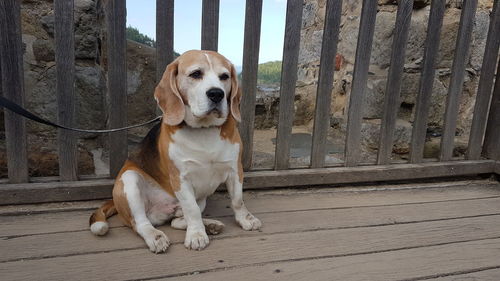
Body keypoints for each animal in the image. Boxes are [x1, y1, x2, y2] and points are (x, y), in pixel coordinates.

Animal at [89, 49, 262, 252]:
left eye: (224, 76)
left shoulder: (235, 170)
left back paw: (210, 225)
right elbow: (191, 210)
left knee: (177, 221)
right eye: (196, 74)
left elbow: (237, 200)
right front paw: (196, 235)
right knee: (141, 223)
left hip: (201, 199)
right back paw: (156, 236)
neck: (204, 130)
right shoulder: (180, 178)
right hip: (129, 181)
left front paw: (246, 219)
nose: (216, 94)